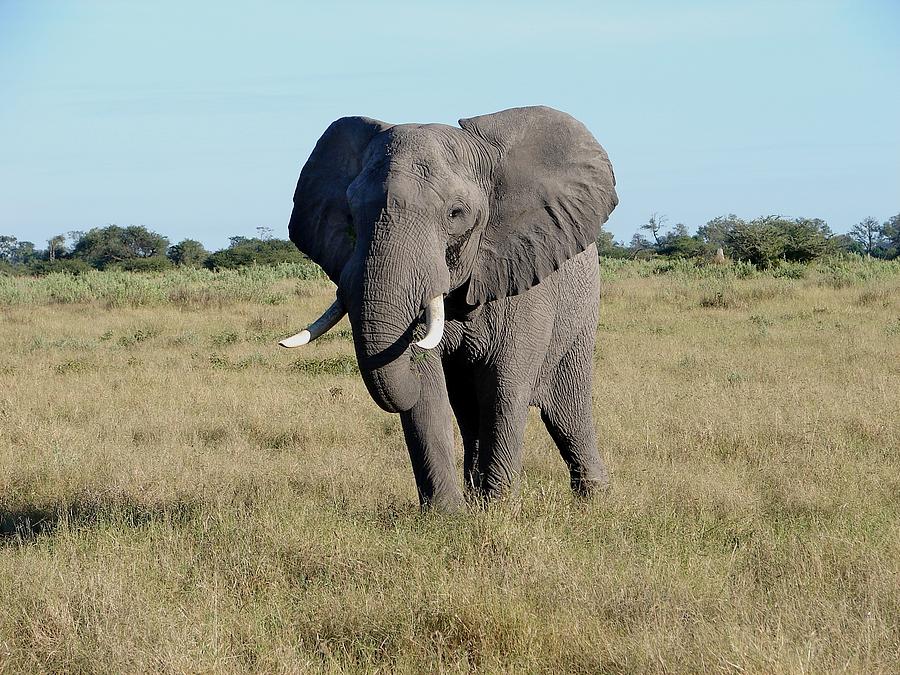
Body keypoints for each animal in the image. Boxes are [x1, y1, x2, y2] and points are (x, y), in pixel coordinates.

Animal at [282, 105, 620, 510]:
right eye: (350, 212)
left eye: (455, 214)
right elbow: (428, 388)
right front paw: (448, 515)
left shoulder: (525, 278)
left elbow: (504, 386)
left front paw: (498, 511)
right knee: (469, 409)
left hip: (583, 307)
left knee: (568, 409)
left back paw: (593, 500)